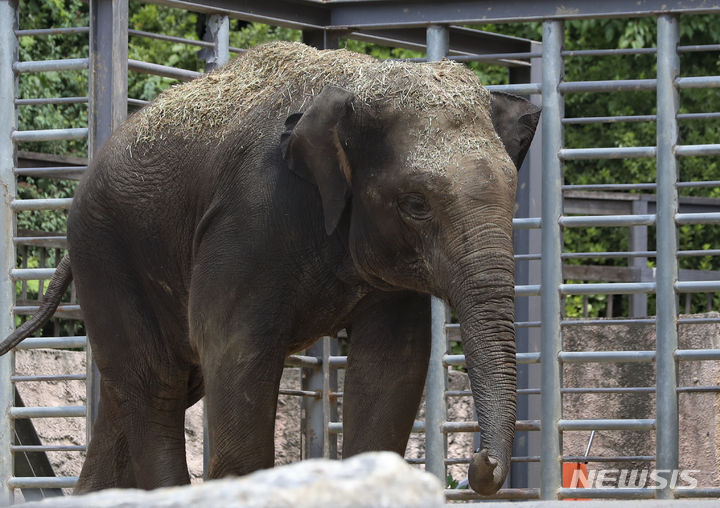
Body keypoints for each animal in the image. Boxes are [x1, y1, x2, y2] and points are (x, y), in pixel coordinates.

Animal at [1, 41, 540, 494]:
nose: (480, 467)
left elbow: (393, 363)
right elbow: (237, 349)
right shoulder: (249, 218)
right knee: (156, 387)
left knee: (138, 393)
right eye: (416, 204)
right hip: (107, 253)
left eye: (513, 193)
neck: (360, 79)